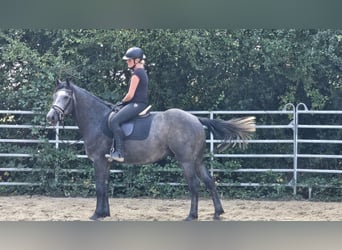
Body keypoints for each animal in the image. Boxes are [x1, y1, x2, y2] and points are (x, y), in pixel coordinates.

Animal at [46, 80, 255, 221]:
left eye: (66, 97)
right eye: (54, 96)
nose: (51, 117)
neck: (97, 120)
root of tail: (195, 119)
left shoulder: (98, 160)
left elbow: (99, 187)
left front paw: (96, 214)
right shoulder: (106, 162)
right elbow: (104, 186)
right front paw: (105, 213)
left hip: (186, 161)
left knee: (194, 185)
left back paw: (191, 215)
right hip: (197, 161)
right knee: (210, 181)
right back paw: (218, 213)